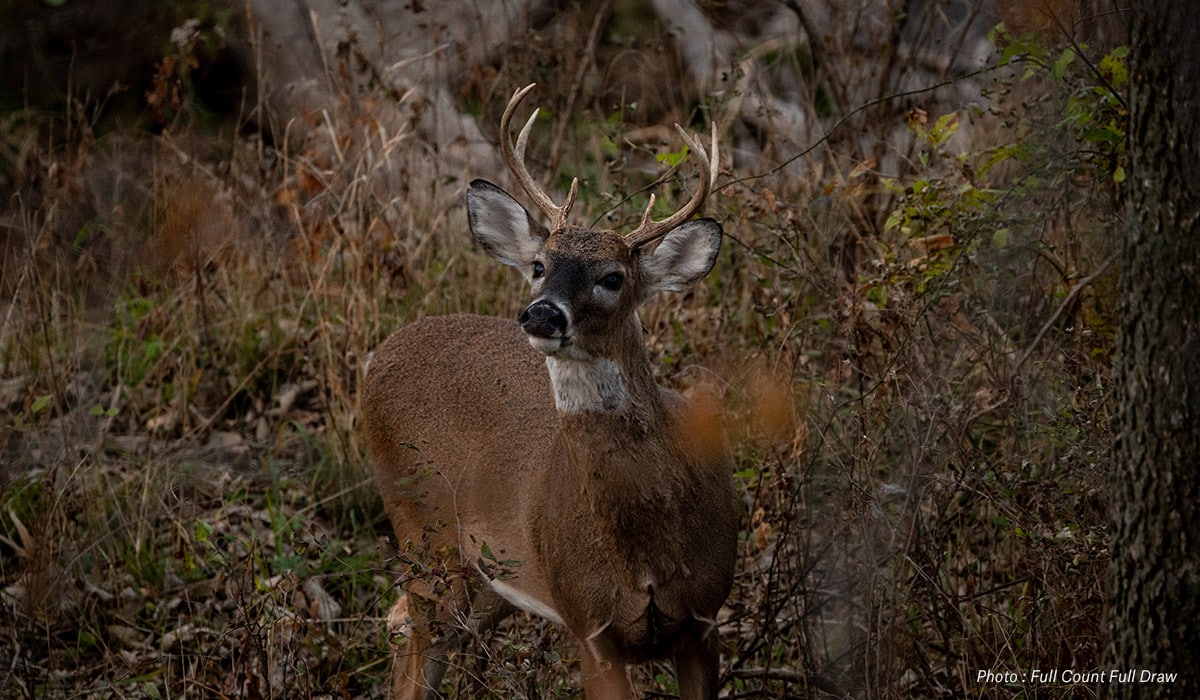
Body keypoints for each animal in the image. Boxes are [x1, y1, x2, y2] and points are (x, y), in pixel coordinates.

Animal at [360, 84, 739, 696]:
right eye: (538, 266)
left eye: (612, 277)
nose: (541, 314)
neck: (646, 555)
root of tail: (381, 353)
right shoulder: (589, 621)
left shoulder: (705, 616)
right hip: (418, 525)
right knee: (409, 629)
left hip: (486, 576)